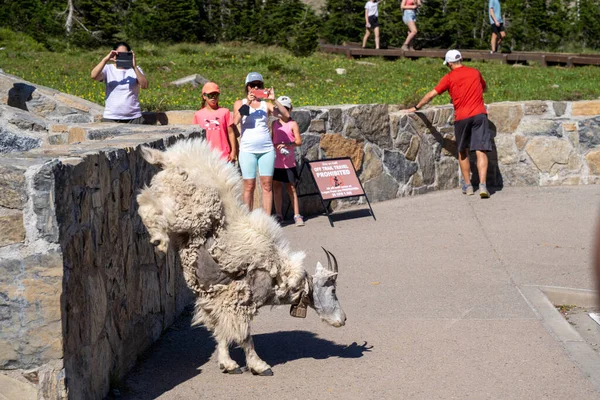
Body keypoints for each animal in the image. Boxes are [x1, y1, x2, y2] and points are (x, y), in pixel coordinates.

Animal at [137, 139, 346, 376]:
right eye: (333, 290)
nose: (343, 319)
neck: (279, 272)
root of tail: (169, 158)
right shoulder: (239, 301)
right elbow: (245, 336)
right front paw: (259, 366)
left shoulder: (216, 300)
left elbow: (221, 333)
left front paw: (227, 364)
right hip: (182, 211)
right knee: (145, 203)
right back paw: (159, 240)